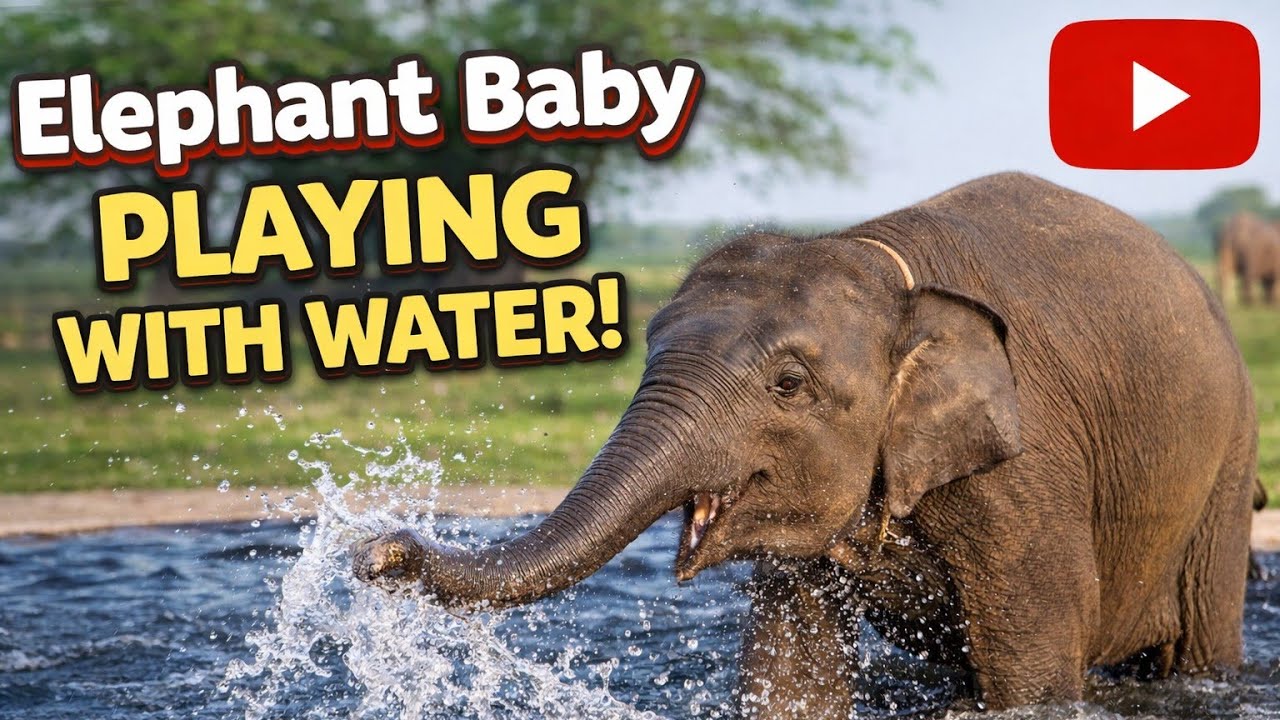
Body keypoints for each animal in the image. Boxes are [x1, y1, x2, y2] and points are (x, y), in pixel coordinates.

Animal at [354, 172, 1257, 716]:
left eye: (788, 385)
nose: (375, 552)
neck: (882, 267)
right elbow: (793, 672)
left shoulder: (1029, 469)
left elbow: (1030, 676)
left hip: (1230, 457)